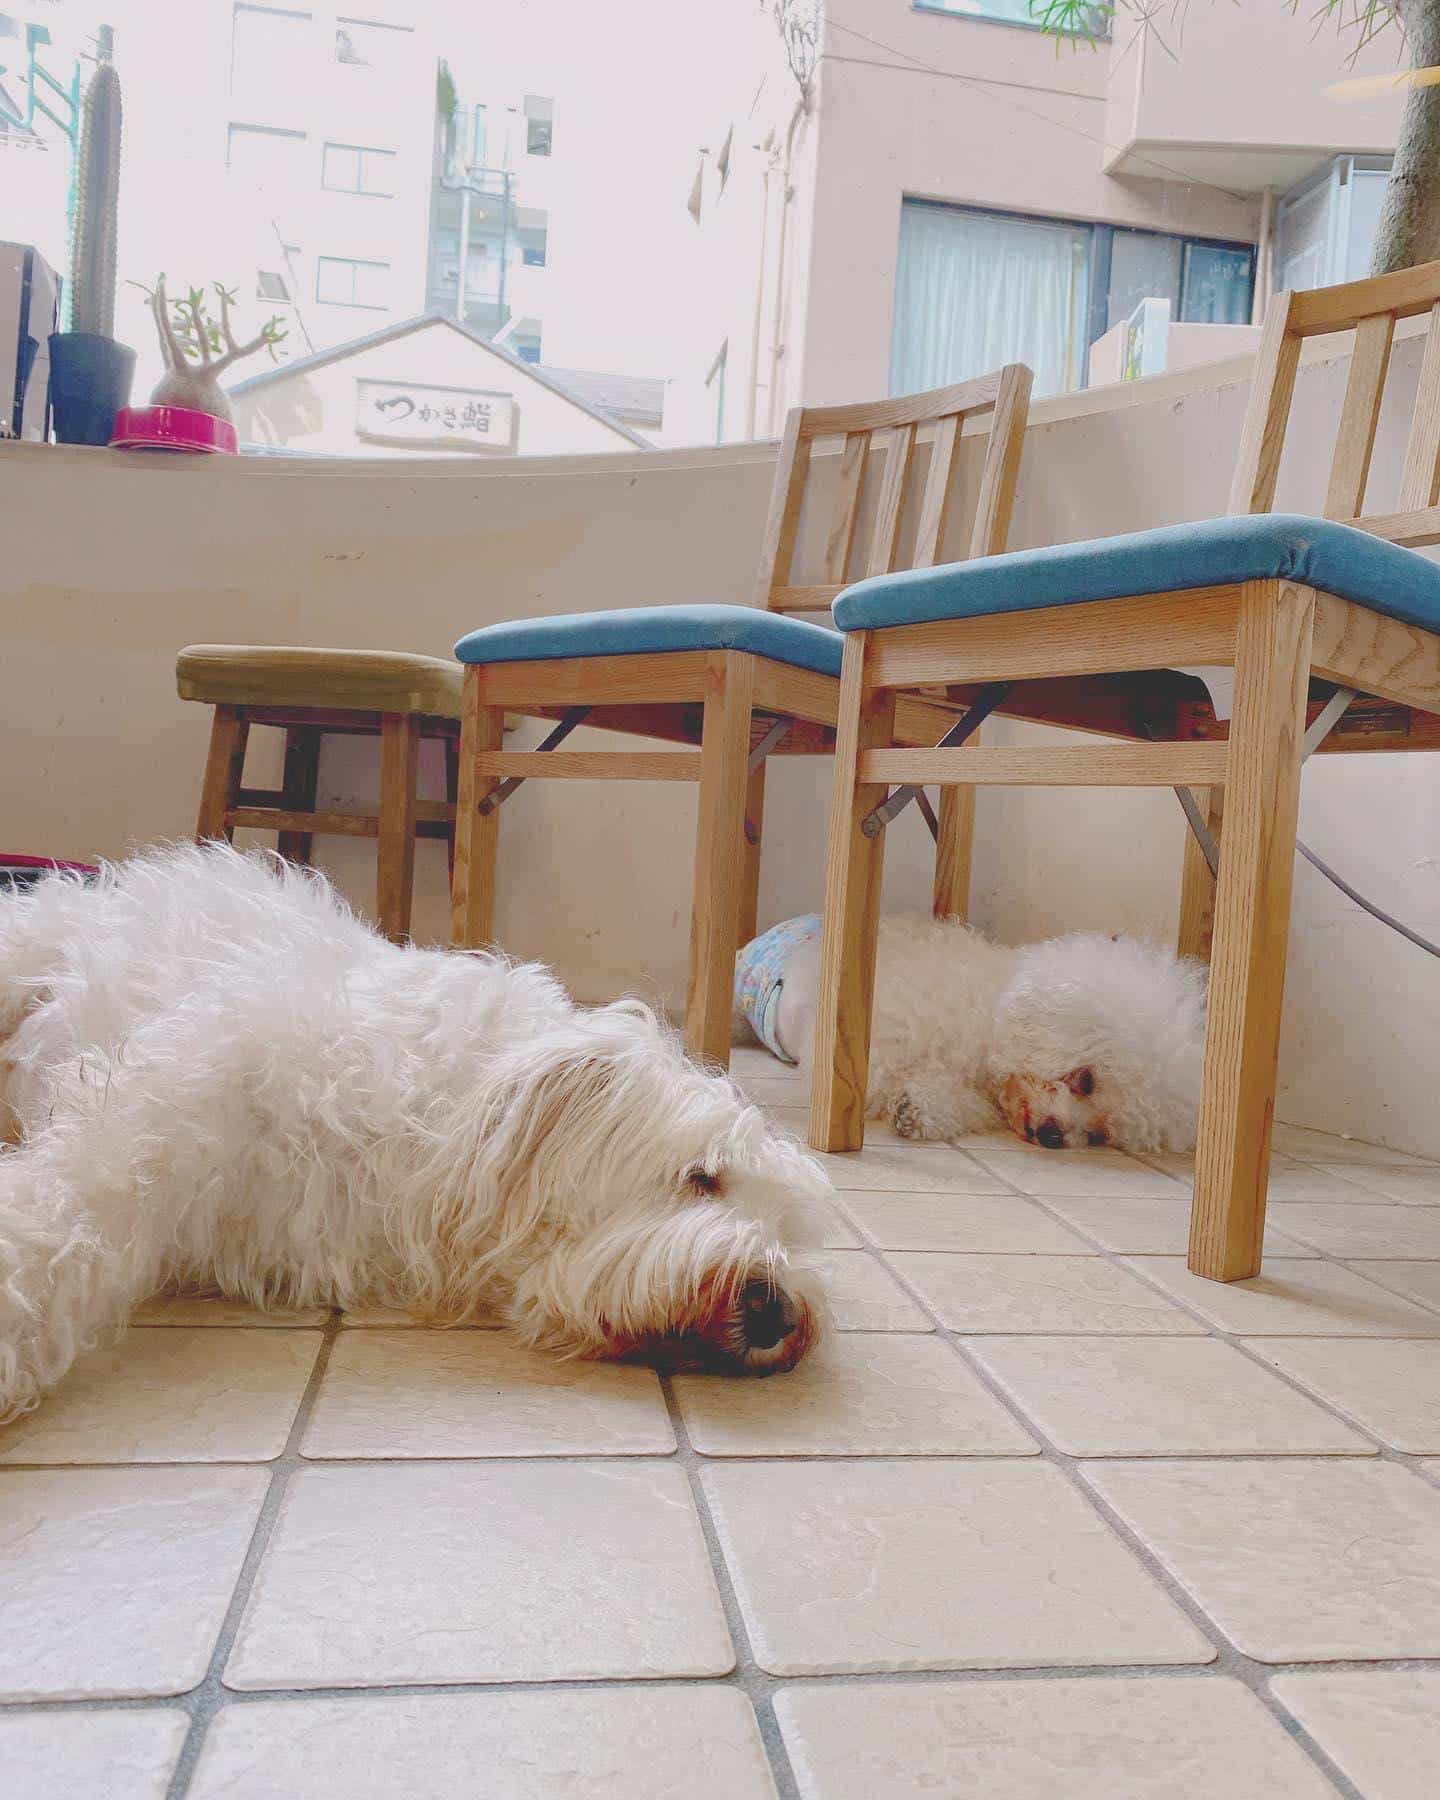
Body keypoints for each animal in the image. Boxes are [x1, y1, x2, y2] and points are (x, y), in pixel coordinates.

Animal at [739, 914, 1206, 1154]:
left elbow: (951, 1102)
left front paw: (916, 1111)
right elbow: (877, 1075)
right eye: (1087, 1080)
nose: (1053, 1136)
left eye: (1098, 1134)